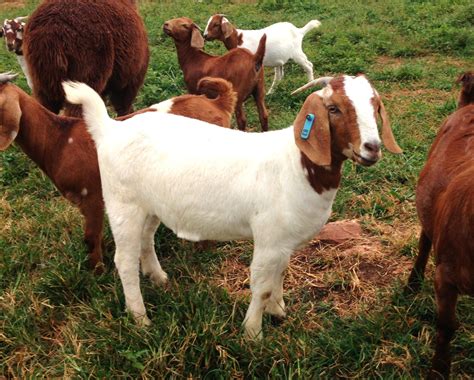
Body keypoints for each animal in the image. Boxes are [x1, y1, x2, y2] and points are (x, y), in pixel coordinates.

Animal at [0, 72, 237, 274]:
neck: (59, 140)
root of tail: (217, 103)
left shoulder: (92, 196)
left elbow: (90, 236)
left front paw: (97, 271)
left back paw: (203, 249)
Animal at [64, 74, 404, 338]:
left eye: (375, 106)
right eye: (333, 109)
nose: (372, 148)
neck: (295, 163)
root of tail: (110, 129)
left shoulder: (283, 240)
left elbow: (280, 273)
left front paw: (278, 311)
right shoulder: (268, 238)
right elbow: (262, 285)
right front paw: (253, 333)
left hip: (150, 204)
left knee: (146, 240)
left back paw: (158, 278)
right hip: (123, 204)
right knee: (123, 260)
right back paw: (141, 319)